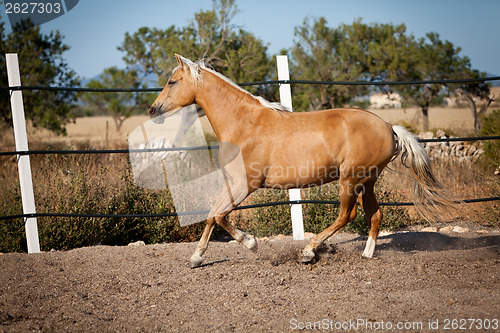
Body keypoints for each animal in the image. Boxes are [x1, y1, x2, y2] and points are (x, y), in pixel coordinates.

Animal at [147, 53, 454, 268]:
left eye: (172, 81)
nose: (153, 110)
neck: (243, 124)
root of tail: (389, 127)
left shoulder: (246, 184)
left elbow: (220, 215)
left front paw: (252, 243)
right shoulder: (232, 182)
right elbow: (212, 214)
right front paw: (196, 258)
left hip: (350, 179)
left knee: (347, 215)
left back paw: (308, 251)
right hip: (367, 182)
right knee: (374, 215)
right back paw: (366, 255)